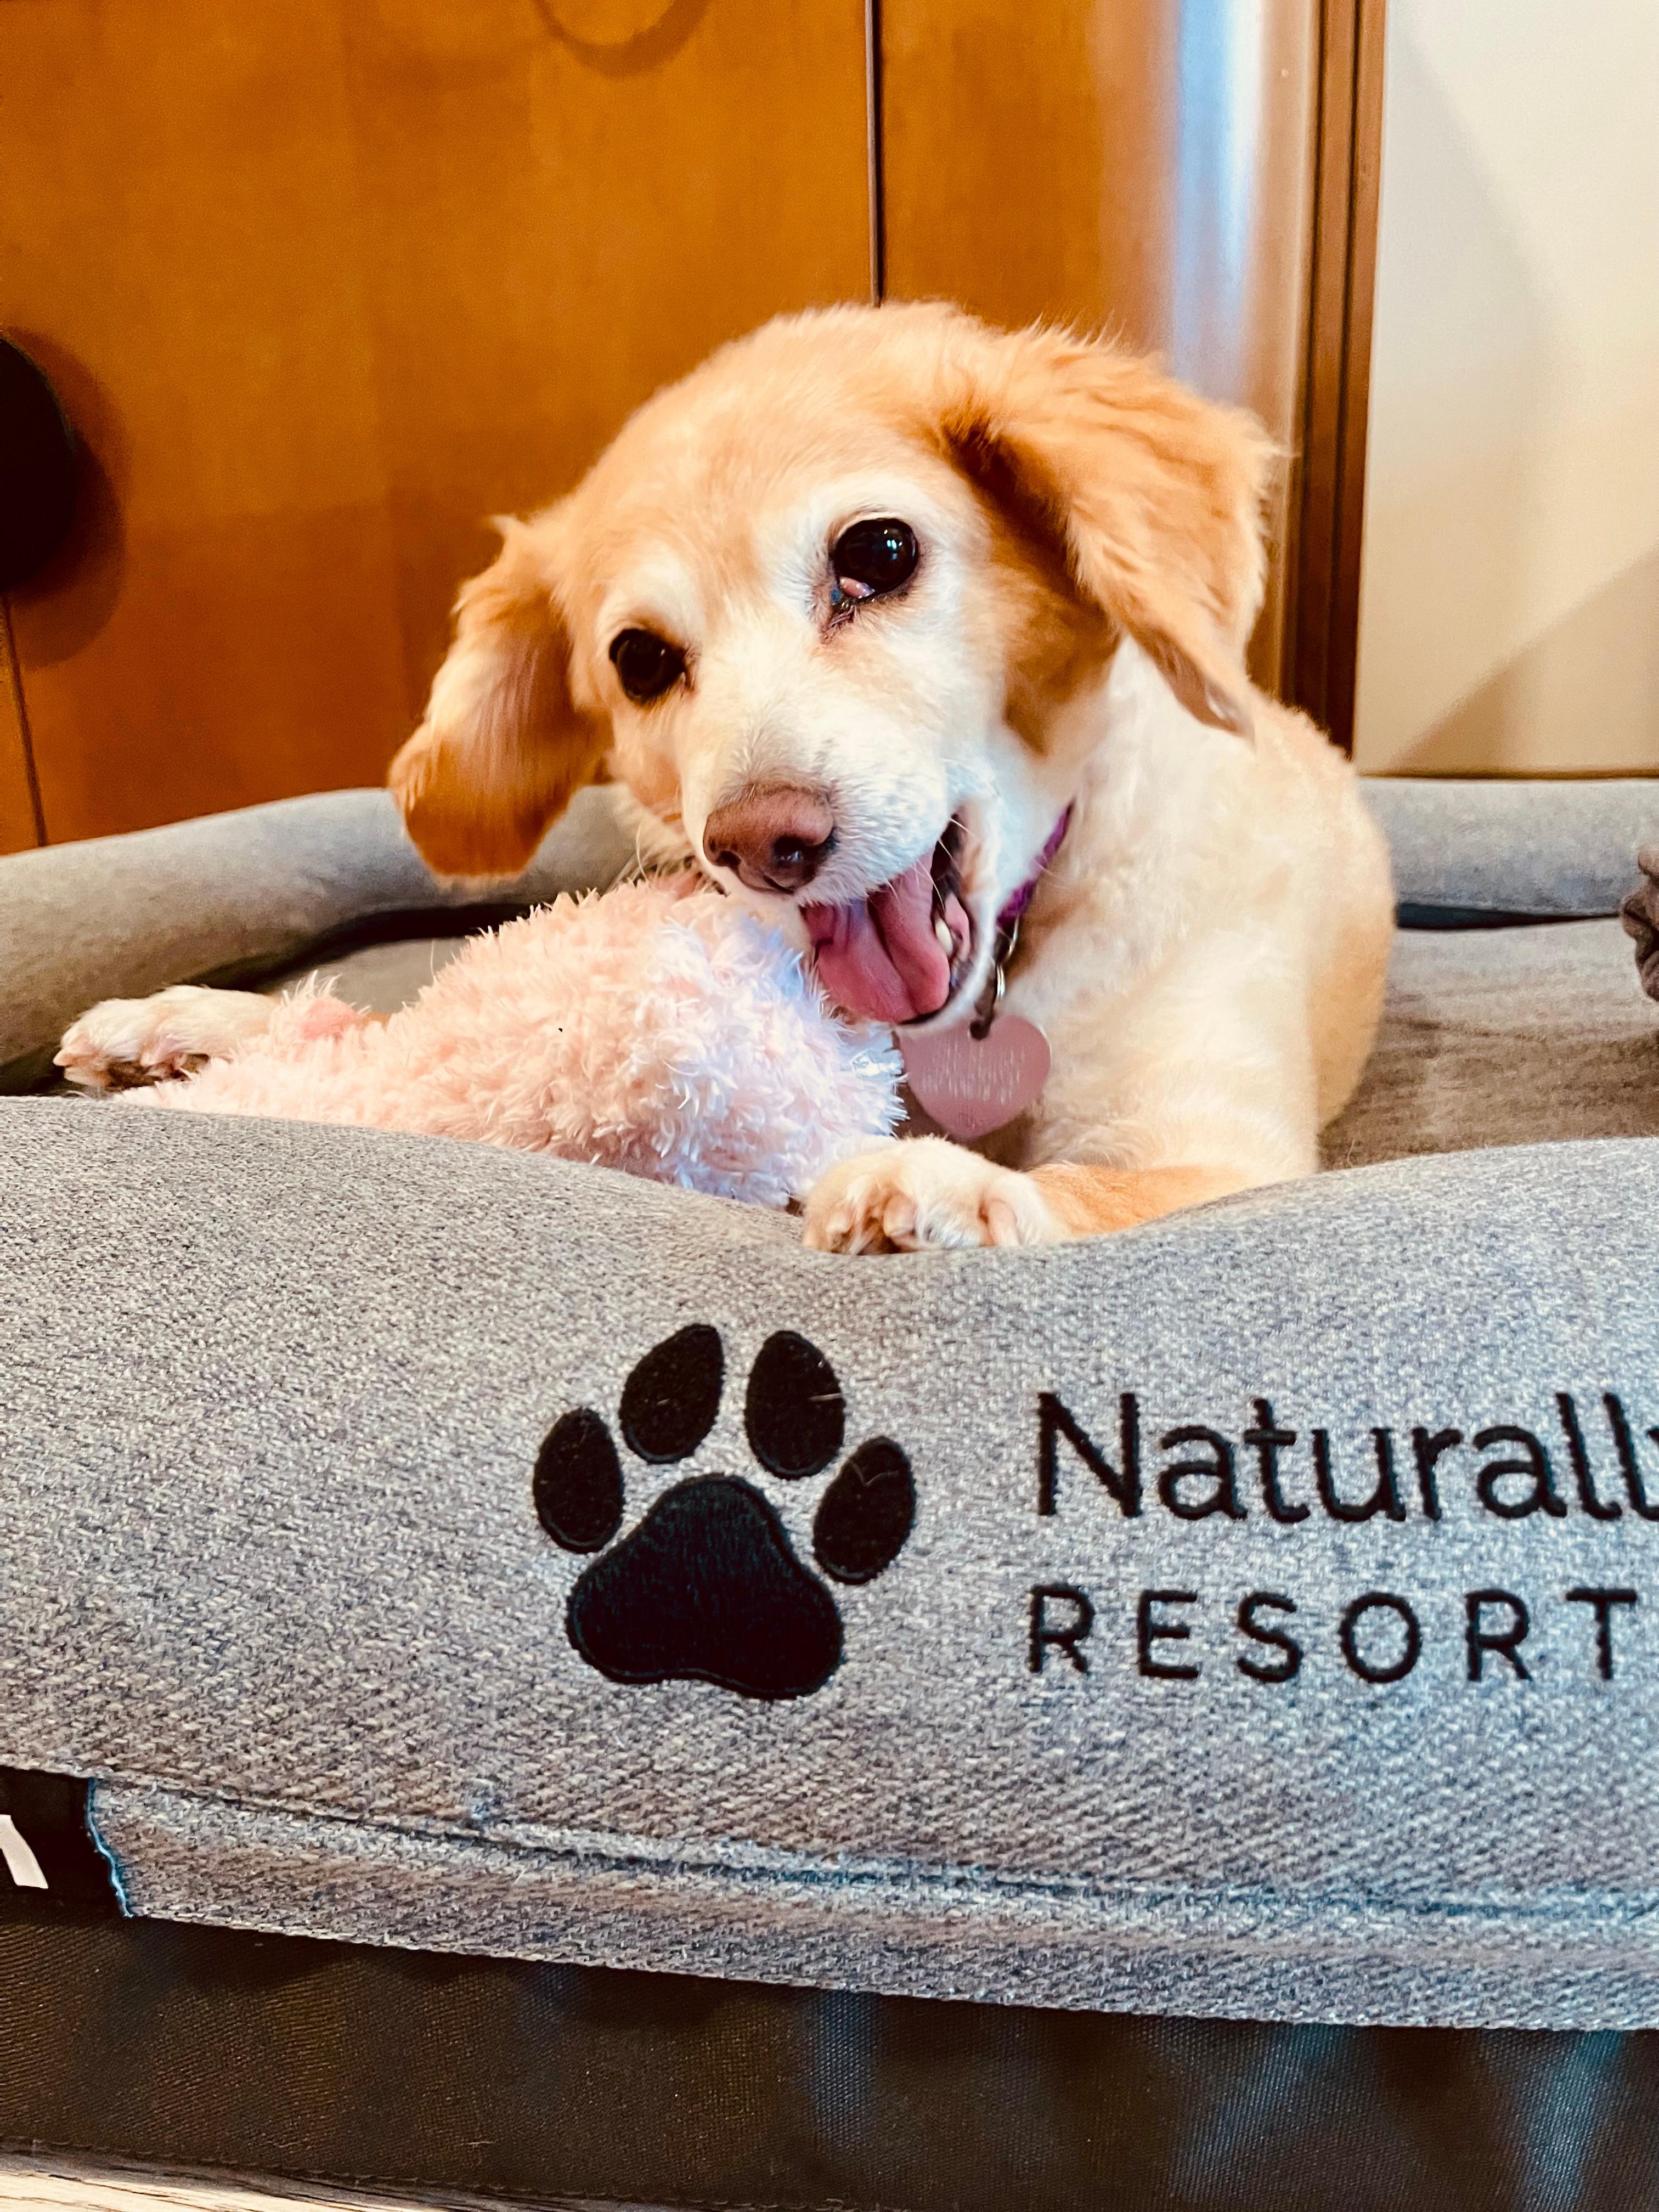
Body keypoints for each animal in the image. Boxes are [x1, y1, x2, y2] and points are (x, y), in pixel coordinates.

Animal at [61, 304, 1393, 1252]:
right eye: (640, 660)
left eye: (878, 553)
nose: (762, 848)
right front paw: (190, 1028)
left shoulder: (1206, 1148)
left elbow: (1080, 1188)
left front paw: (941, 1188)